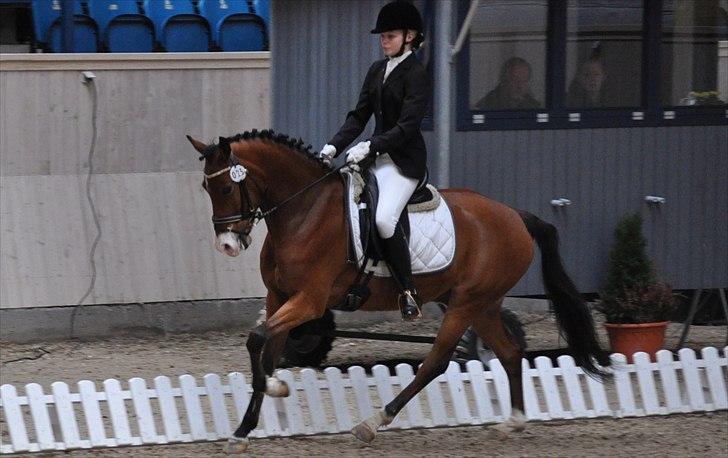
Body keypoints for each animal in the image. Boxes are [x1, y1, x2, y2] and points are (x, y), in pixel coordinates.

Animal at [186, 130, 610, 453]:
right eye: (206, 187)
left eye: (226, 187)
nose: (228, 245)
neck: (304, 211)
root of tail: (515, 215)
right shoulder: (278, 297)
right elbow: (267, 346)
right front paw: (249, 423)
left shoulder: (309, 300)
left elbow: (258, 339)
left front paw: (266, 395)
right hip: (482, 305)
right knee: (509, 354)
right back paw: (514, 422)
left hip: (467, 304)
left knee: (436, 362)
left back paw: (374, 421)